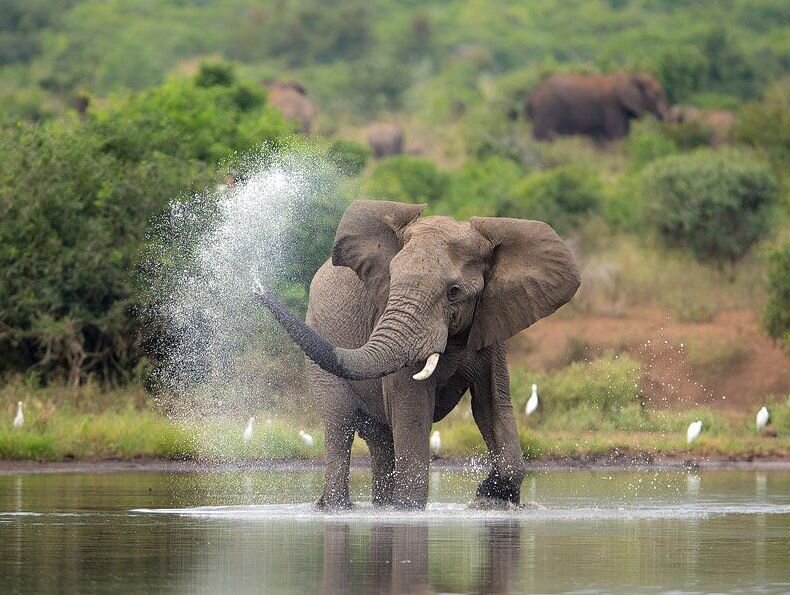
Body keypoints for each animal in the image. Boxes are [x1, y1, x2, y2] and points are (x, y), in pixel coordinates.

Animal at [255, 203, 580, 510]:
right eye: (391, 280)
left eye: (454, 291)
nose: (256, 286)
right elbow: (412, 409)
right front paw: (409, 508)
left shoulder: (491, 320)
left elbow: (491, 405)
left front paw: (489, 498)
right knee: (340, 424)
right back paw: (336, 507)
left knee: (380, 439)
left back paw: (380, 506)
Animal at [528, 72, 672, 141]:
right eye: (657, 93)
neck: (630, 75)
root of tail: (532, 94)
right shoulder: (612, 107)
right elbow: (618, 137)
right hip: (546, 111)